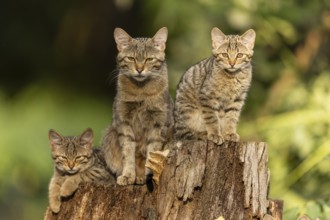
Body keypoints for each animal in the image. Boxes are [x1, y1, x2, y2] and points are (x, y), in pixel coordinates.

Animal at [102, 27, 174, 186]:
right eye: (131, 58)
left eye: (149, 59)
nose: (139, 69)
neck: (140, 91)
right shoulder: (124, 122)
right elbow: (128, 152)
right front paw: (128, 175)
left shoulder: (158, 124)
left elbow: (152, 153)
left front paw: (148, 176)